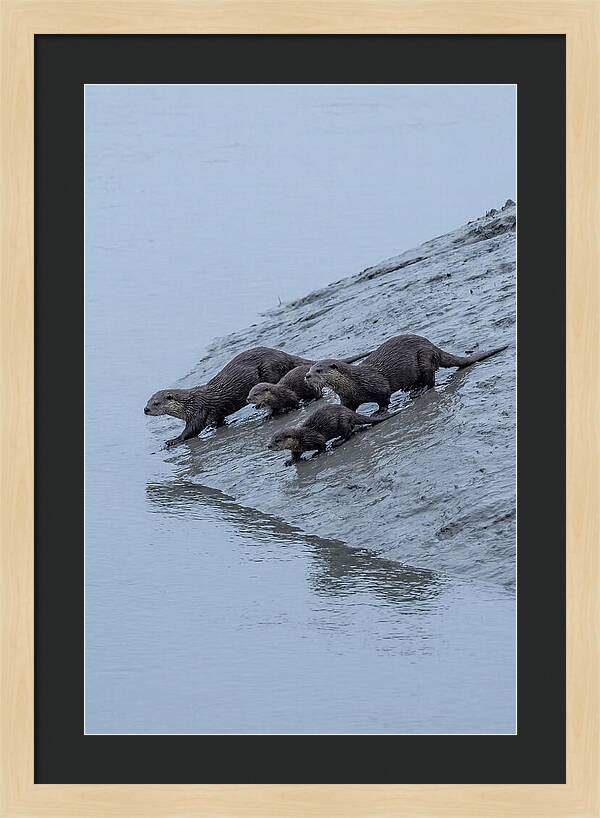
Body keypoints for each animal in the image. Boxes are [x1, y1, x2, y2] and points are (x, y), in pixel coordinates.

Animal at [144, 346, 369, 447]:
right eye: (147, 401)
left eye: (156, 403)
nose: (145, 409)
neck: (188, 403)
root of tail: (282, 354)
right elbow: (219, 418)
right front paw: (216, 426)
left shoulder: (198, 410)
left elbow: (191, 430)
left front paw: (173, 440)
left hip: (270, 369)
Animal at [267, 404, 401, 466]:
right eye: (271, 439)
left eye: (277, 440)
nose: (269, 446)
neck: (301, 438)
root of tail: (349, 412)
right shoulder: (297, 449)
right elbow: (295, 456)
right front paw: (290, 461)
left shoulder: (315, 438)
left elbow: (322, 445)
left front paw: (317, 453)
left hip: (342, 421)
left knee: (348, 434)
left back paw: (337, 442)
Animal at [305, 334, 508, 413]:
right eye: (309, 369)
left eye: (318, 370)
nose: (307, 376)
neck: (354, 383)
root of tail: (434, 347)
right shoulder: (348, 399)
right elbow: (347, 409)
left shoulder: (377, 385)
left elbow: (384, 398)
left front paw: (379, 412)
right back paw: (412, 387)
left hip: (424, 357)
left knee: (431, 380)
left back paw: (419, 390)